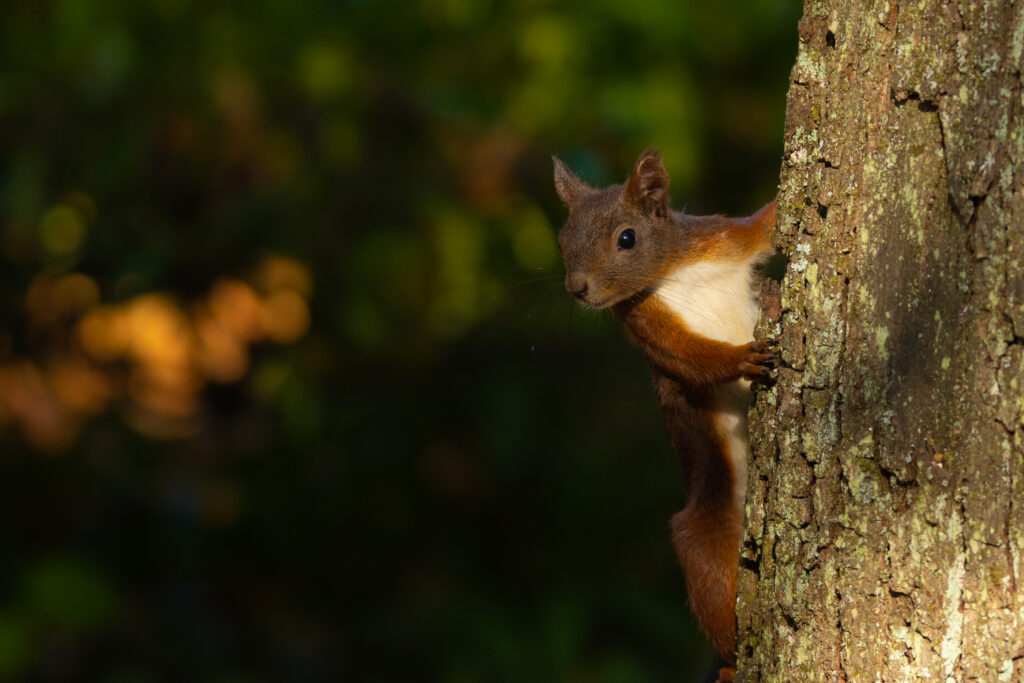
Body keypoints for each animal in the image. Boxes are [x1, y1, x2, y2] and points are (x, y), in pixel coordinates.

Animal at [553, 148, 777, 681]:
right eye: (562, 241)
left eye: (627, 238)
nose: (576, 289)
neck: (674, 272)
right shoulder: (645, 322)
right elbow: (692, 358)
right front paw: (741, 360)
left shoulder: (723, 238)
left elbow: (765, 225)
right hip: (705, 527)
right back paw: (731, 663)